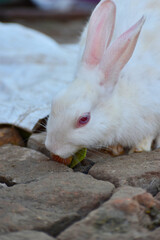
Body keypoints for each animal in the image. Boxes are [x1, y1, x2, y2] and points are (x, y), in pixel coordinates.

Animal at [44, 0, 160, 158]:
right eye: (53, 102)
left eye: (84, 119)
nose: (52, 148)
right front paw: (115, 148)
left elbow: (149, 134)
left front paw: (140, 148)